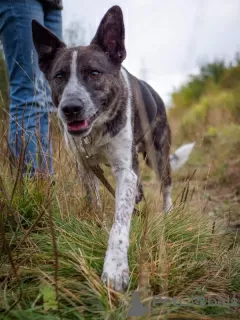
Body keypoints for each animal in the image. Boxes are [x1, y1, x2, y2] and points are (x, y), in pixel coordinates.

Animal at [31, 5, 194, 292]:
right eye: (59, 76)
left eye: (94, 73)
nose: (70, 108)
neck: (96, 130)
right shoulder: (85, 166)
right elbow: (94, 203)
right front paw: (97, 226)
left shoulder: (125, 171)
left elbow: (119, 225)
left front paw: (116, 268)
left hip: (158, 157)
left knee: (166, 187)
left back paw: (168, 214)